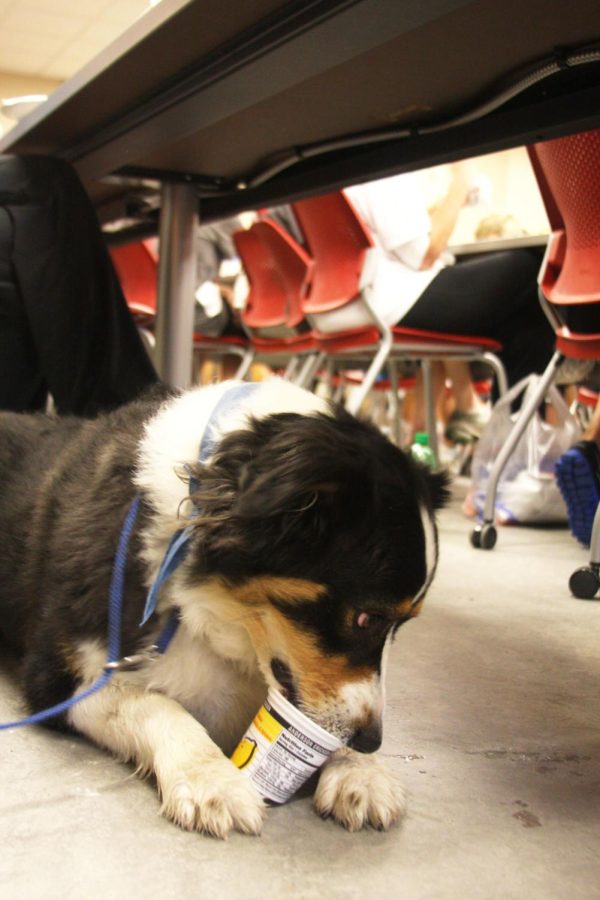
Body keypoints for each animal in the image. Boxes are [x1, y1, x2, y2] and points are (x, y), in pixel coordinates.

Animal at [0, 378, 448, 836]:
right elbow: (159, 705)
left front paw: (361, 771)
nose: (370, 741)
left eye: (400, 626)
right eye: (366, 618)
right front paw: (212, 779)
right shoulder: (61, 677)